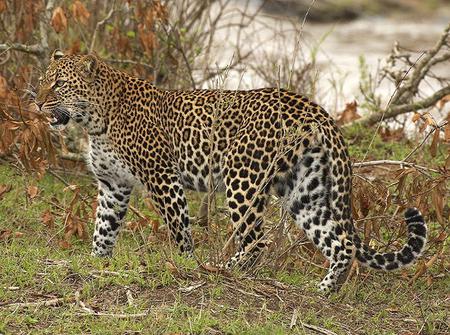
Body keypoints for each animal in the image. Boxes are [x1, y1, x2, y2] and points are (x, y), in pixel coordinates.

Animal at [36, 50, 428, 294]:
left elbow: (179, 230)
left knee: (257, 240)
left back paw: (225, 268)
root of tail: (314, 107)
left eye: (58, 84)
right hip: (305, 190)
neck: (94, 120)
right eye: (43, 80)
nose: (37, 102)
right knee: (340, 242)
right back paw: (324, 291)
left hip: (243, 177)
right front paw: (96, 262)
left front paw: (187, 265)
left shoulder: (163, 178)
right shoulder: (113, 184)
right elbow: (103, 229)